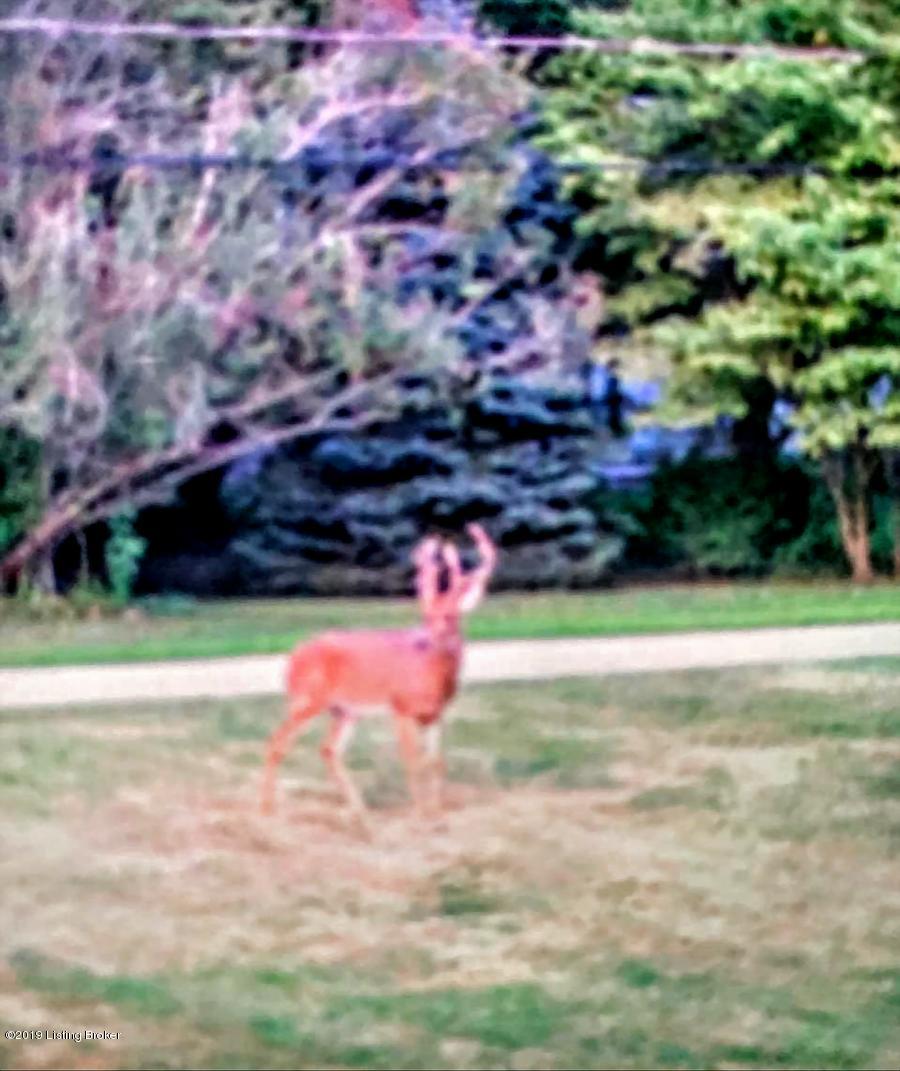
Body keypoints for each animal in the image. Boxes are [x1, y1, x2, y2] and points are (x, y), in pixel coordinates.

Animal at [259, 523, 498, 830]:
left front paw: (437, 814)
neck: (433, 677)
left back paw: (359, 812)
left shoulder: (436, 714)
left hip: (344, 710)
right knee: (277, 743)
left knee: (329, 750)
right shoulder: (401, 706)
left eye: (451, 617)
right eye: (426, 614)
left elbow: (436, 762)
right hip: (307, 698)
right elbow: (413, 761)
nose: (428, 638)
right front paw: (421, 815)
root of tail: (292, 658)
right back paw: (267, 811)